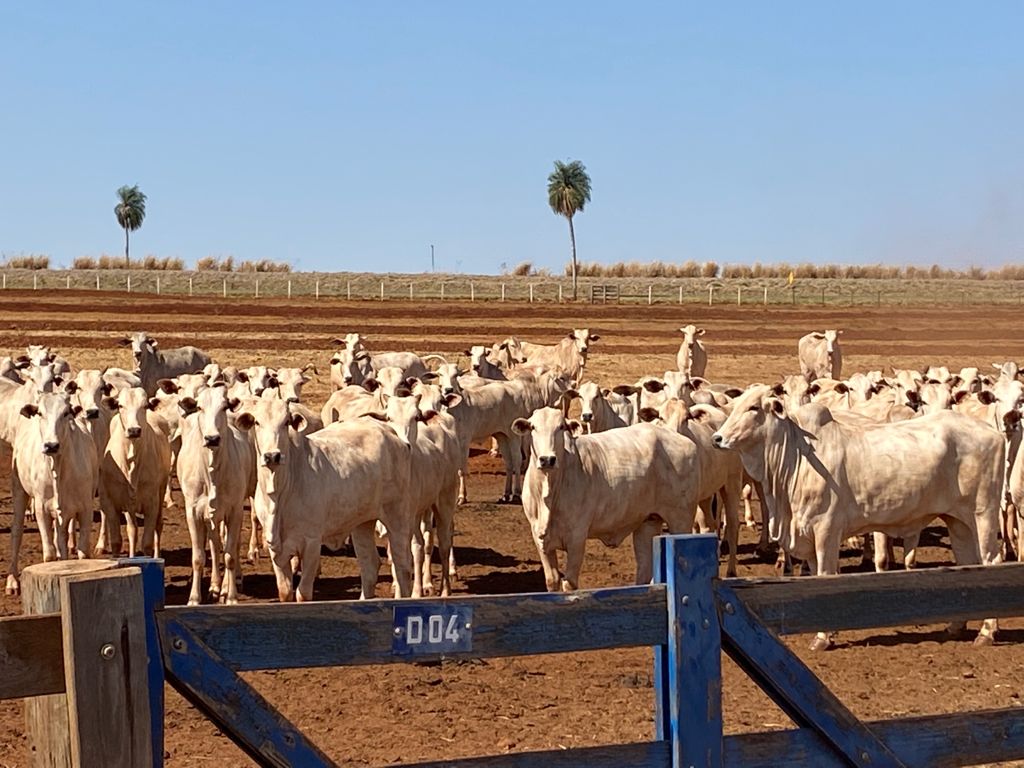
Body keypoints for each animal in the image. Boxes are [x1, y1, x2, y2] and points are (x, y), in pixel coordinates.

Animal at [97, 387, 172, 557]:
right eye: (120, 406)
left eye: (145, 405)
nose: (134, 430)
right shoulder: (111, 502)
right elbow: (117, 541)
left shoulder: (151, 503)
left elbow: (147, 543)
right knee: (132, 531)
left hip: (161, 489)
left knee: (158, 525)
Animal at [235, 399, 415, 606]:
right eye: (257, 422)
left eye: (286, 422)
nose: (273, 456)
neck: (280, 493)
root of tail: (390, 431)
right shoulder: (276, 549)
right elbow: (285, 592)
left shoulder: (312, 544)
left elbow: (303, 594)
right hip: (362, 523)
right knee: (370, 565)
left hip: (397, 517)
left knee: (402, 568)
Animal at [512, 411, 704, 593]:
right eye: (533, 427)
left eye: (561, 427)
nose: (547, 459)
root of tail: (682, 440)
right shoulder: (540, 538)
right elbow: (552, 581)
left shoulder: (577, 538)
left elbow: (570, 584)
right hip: (648, 522)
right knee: (644, 569)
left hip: (681, 519)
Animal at [712, 385, 999, 651]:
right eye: (736, 404)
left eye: (753, 408)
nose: (717, 438)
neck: (796, 455)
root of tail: (993, 433)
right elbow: (815, 574)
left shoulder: (826, 529)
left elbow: (826, 574)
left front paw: (822, 638)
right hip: (958, 522)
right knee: (968, 564)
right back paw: (956, 625)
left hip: (983, 515)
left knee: (991, 561)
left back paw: (987, 631)